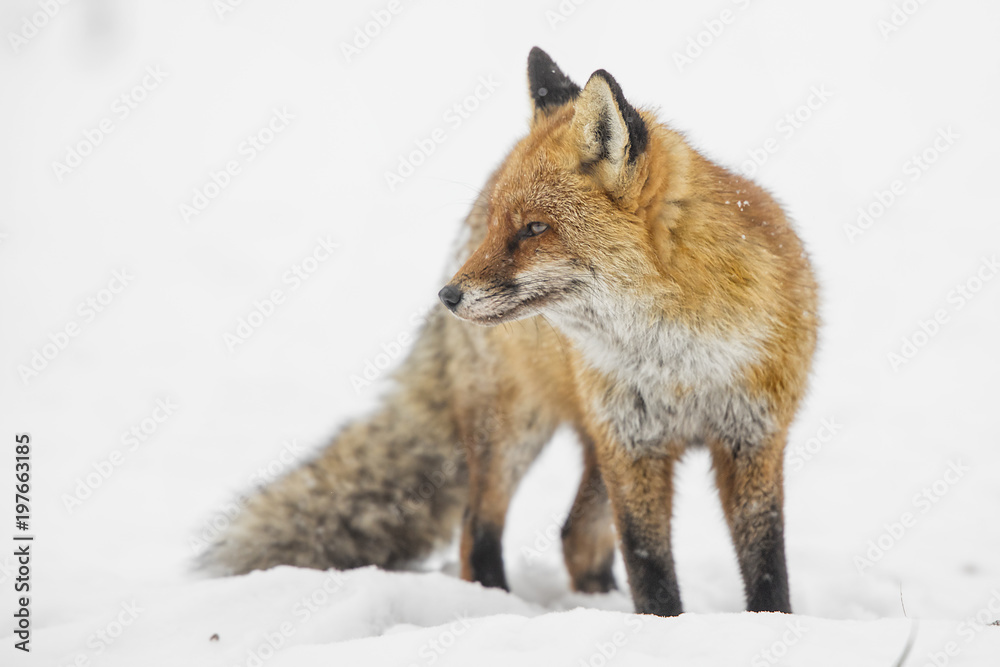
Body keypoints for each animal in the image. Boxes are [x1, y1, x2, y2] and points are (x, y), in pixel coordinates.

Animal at [202, 47, 818, 617]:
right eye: (501, 224)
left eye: (535, 228)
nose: (448, 297)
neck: (678, 361)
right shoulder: (631, 445)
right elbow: (650, 566)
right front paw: (662, 629)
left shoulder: (752, 438)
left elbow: (766, 563)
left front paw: (772, 625)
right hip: (513, 429)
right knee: (478, 527)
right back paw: (493, 604)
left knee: (575, 536)